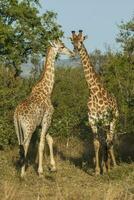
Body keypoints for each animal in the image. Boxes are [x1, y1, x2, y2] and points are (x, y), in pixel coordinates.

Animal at [13, 38, 74, 177]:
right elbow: (41, 144)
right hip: (28, 128)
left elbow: (49, 139)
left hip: (18, 128)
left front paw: (53, 166)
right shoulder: (47, 118)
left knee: (20, 145)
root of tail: (17, 114)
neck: (47, 90)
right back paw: (23, 174)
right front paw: (40, 171)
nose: (72, 53)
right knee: (25, 144)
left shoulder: (41, 123)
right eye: (62, 47)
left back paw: (22, 168)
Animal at [69, 30, 119, 175]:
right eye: (72, 41)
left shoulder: (104, 120)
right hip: (105, 124)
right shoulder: (93, 121)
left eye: (81, 41)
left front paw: (107, 168)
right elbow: (96, 144)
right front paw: (98, 170)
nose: (76, 49)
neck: (94, 92)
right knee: (105, 141)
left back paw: (113, 166)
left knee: (110, 141)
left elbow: (106, 143)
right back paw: (105, 165)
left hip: (113, 120)